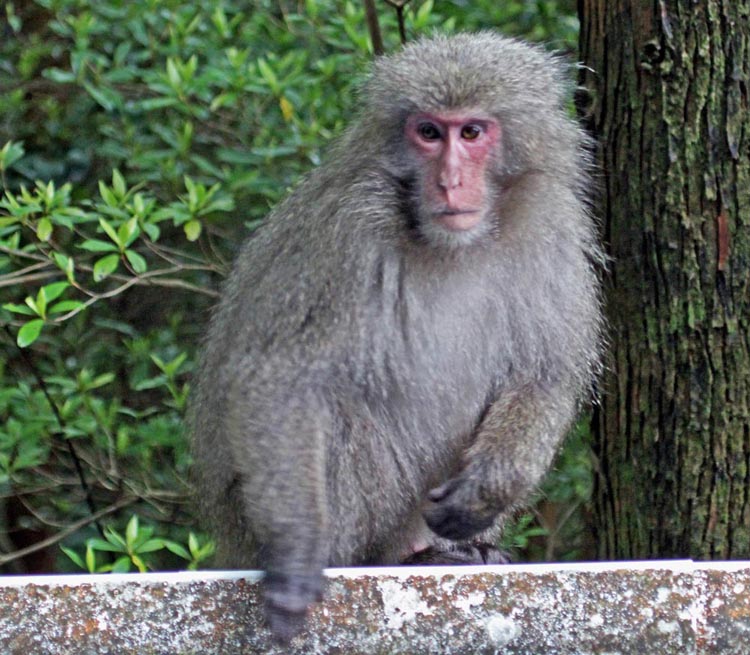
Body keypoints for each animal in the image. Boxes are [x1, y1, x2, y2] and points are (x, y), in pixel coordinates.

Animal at [192, 33, 604, 644]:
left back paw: (453, 550)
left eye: (471, 132)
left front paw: (489, 488)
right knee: (335, 411)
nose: (449, 181)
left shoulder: (549, 221)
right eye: (428, 132)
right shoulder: (347, 229)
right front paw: (295, 551)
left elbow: (542, 377)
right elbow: (282, 379)